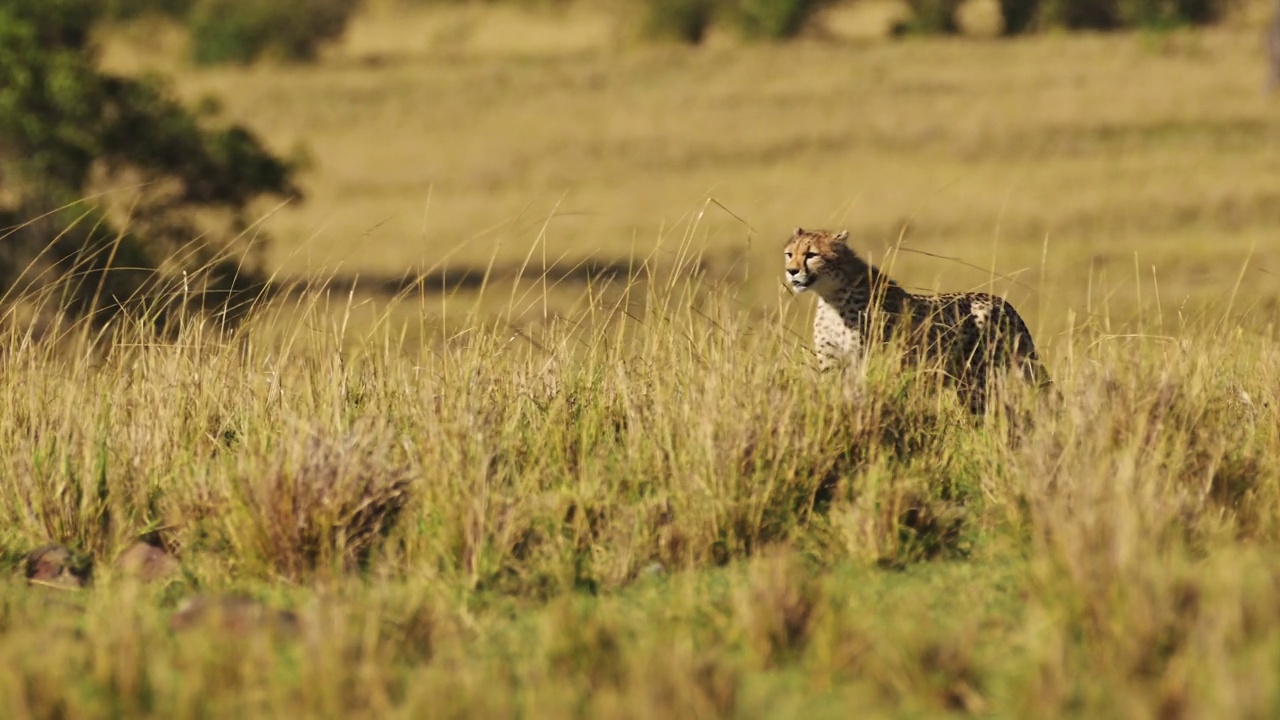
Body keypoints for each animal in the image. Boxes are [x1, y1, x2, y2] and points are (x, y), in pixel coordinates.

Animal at [783, 224, 1054, 415]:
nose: (791, 271)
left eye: (811, 254)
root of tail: (1001, 302)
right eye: (789, 254)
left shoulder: (865, 361)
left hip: (976, 377)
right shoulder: (831, 362)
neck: (831, 295)